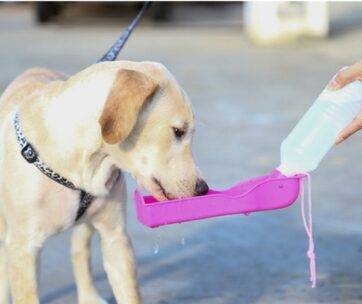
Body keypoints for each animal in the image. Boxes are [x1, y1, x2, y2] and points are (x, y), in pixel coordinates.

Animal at [0, 60, 209, 304]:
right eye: (178, 131)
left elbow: (129, 293)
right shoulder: (24, 249)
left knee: (79, 252)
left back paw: (89, 296)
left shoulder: (116, 238)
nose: (203, 189)